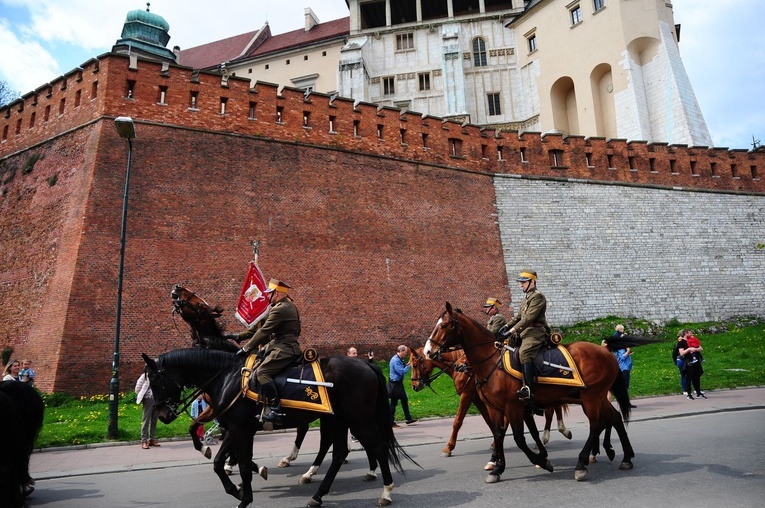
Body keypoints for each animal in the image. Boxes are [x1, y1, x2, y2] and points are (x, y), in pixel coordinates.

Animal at [140, 350, 408, 508]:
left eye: (155, 380)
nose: (162, 415)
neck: (227, 377)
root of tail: (366, 364)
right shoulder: (235, 429)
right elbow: (218, 462)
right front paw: (236, 490)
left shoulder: (240, 430)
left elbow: (243, 466)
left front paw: (244, 497)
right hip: (338, 420)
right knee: (339, 452)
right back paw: (317, 493)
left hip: (358, 418)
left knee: (377, 447)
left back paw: (385, 492)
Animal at [424, 304, 632, 482]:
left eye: (444, 325)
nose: (428, 351)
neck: (492, 364)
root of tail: (606, 352)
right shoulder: (497, 408)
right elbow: (499, 434)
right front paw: (498, 468)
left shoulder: (513, 407)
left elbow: (519, 438)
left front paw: (541, 461)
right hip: (596, 397)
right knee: (614, 417)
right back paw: (625, 457)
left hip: (591, 398)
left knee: (597, 424)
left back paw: (582, 463)